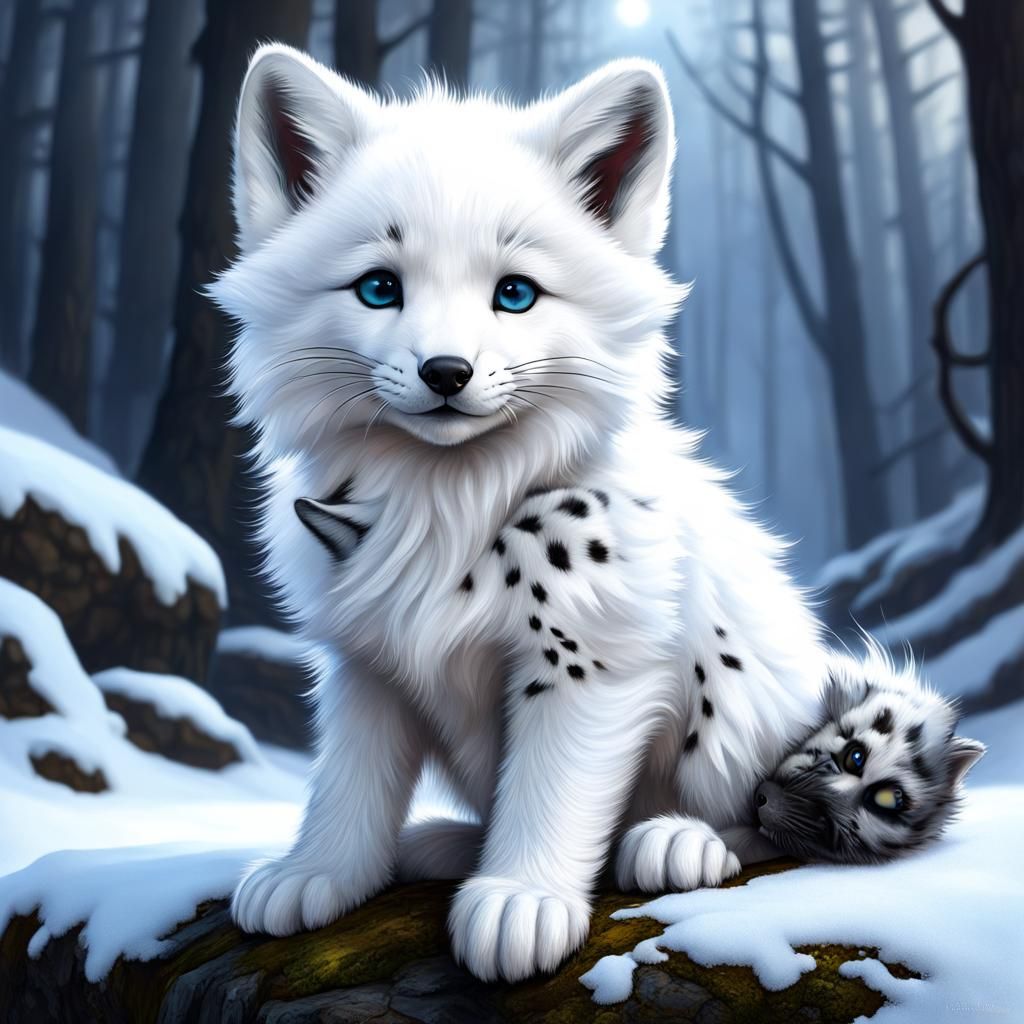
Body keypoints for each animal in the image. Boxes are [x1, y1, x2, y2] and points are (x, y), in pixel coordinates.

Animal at [210, 45, 983, 983]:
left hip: (731, 700)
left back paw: (676, 842)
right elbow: (347, 786)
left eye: (514, 294)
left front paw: (521, 900)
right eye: (378, 288)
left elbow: (551, 792)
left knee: (764, 814)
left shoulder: (588, 662)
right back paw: (442, 845)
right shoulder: (368, 663)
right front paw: (315, 873)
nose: (445, 372)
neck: (449, 509)